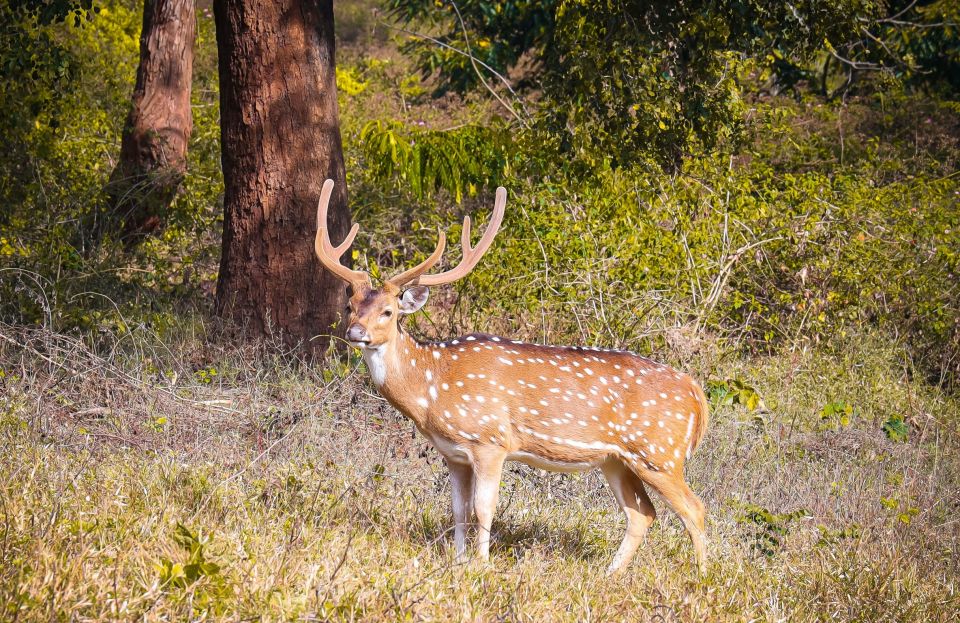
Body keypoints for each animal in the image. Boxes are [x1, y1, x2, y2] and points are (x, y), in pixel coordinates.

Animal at [314, 180, 704, 576]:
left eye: (388, 311)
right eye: (350, 306)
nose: (355, 332)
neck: (432, 389)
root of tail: (695, 390)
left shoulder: (491, 440)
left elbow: (484, 508)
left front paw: (481, 564)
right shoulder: (453, 453)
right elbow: (458, 509)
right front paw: (457, 562)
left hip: (660, 453)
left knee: (694, 508)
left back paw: (703, 574)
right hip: (617, 460)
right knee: (642, 512)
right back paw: (609, 574)